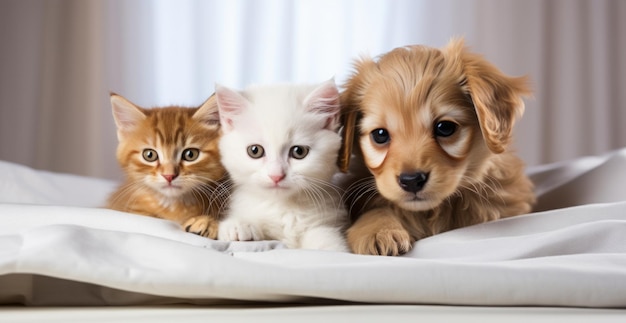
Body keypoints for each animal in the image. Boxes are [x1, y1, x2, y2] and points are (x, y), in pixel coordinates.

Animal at [214, 79, 348, 253]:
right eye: (255, 150)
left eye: (299, 151)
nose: (276, 175)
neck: (283, 208)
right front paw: (238, 226)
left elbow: (330, 245)